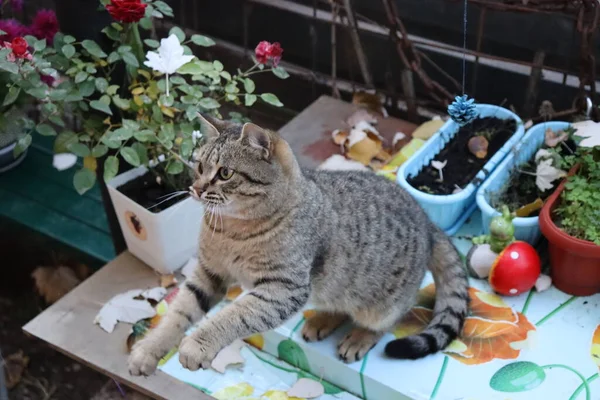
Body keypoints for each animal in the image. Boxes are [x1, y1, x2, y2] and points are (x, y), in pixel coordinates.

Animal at [129, 115, 472, 376]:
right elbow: (178, 314)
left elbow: (233, 317)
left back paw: (359, 337)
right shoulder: (208, 273)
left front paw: (198, 344)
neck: (233, 231)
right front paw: (148, 350)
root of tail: (427, 221)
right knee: (339, 304)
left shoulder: (281, 289)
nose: (196, 189)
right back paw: (322, 320)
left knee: (386, 321)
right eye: (199, 167)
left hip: (380, 306)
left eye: (225, 173)